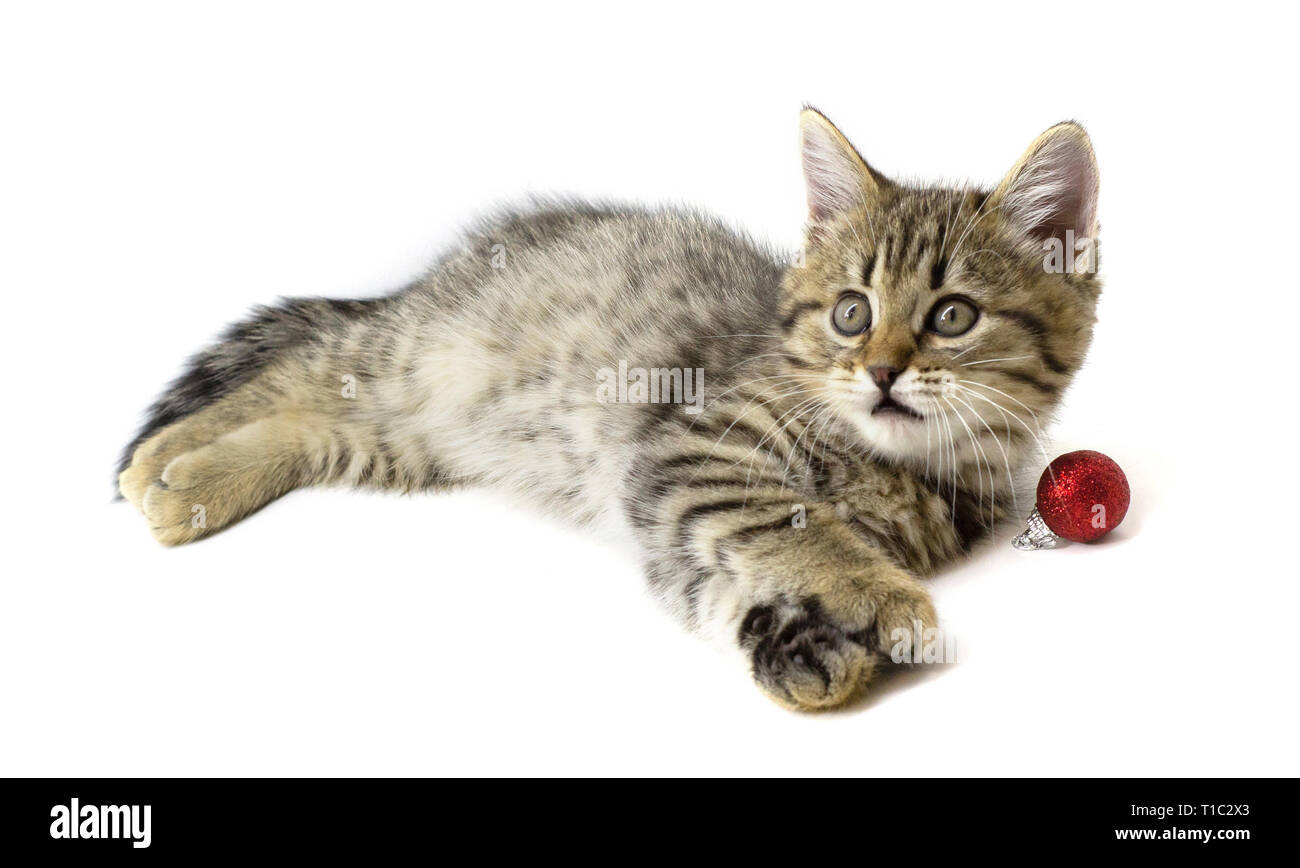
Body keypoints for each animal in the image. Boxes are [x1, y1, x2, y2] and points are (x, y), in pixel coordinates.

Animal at [119, 108, 1097, 706]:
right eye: (852, 313)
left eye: (952, 317)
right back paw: (164, 468)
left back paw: (186, 484)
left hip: (406, 437)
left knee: (308, 423)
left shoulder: (675, 517)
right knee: (296, 373)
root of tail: (438, 275)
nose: (885, 371)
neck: (892, 462)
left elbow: (717, 582)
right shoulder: (691, 450)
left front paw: (801, 644)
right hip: (405, 359)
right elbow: (790, 525)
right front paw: (877, 599)